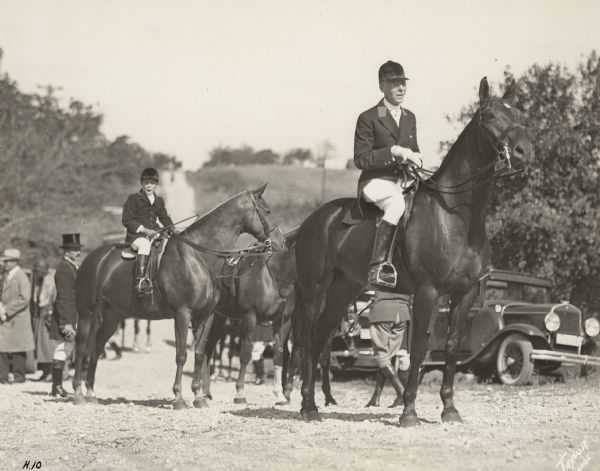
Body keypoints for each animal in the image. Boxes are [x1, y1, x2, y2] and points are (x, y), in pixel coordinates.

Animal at [72, 184, 286, 410]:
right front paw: (178, 398)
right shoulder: (182, 313)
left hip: (112, 316)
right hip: (86, 312)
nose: (281, 241)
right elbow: (182, 354)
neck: (198, 257)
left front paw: (199, 397)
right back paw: (78, 393)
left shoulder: (205, 316)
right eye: (267, 211)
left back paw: (91, 392)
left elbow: (199, 353)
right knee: (82, 345)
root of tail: (93, 257)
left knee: (96, 346)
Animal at [296, 79, 536, 426]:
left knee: (319, 338)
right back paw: (307, 406)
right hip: (314, 289)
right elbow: (420, 349)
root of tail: (311, 220)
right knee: (308, 339)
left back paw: (311, 404)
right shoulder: (427, 292)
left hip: (343, 290)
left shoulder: (464, 294)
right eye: (490, 115)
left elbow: (451, 347)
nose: (524, 152)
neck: (456, 216)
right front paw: (409, 411)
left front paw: (450, 409)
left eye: (518, 114)